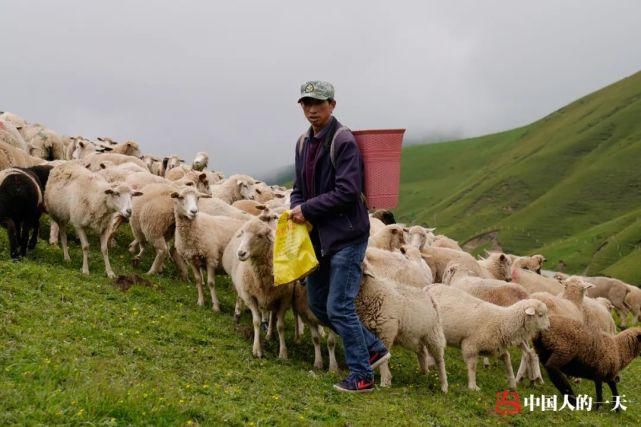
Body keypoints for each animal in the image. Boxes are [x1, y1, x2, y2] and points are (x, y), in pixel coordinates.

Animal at [224, 219, 292, 360]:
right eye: (243, 233)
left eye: (260, 236)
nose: (241, 253)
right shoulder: (250, 296)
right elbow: (256, 321)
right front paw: (257, 349)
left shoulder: (284, 298)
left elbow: (280, 325)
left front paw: (283, 352)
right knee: (240, 297)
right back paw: (237, 314)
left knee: (272, 316)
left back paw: (270, 334)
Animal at [352, 264, 448, 392]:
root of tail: (430, 297)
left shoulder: (385, 332)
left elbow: (383, 359)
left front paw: (385, 381)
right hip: (409, 337)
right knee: (421, 350)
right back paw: (424, 373)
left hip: (433, 334)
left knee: (439, 359)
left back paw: (444, 386)